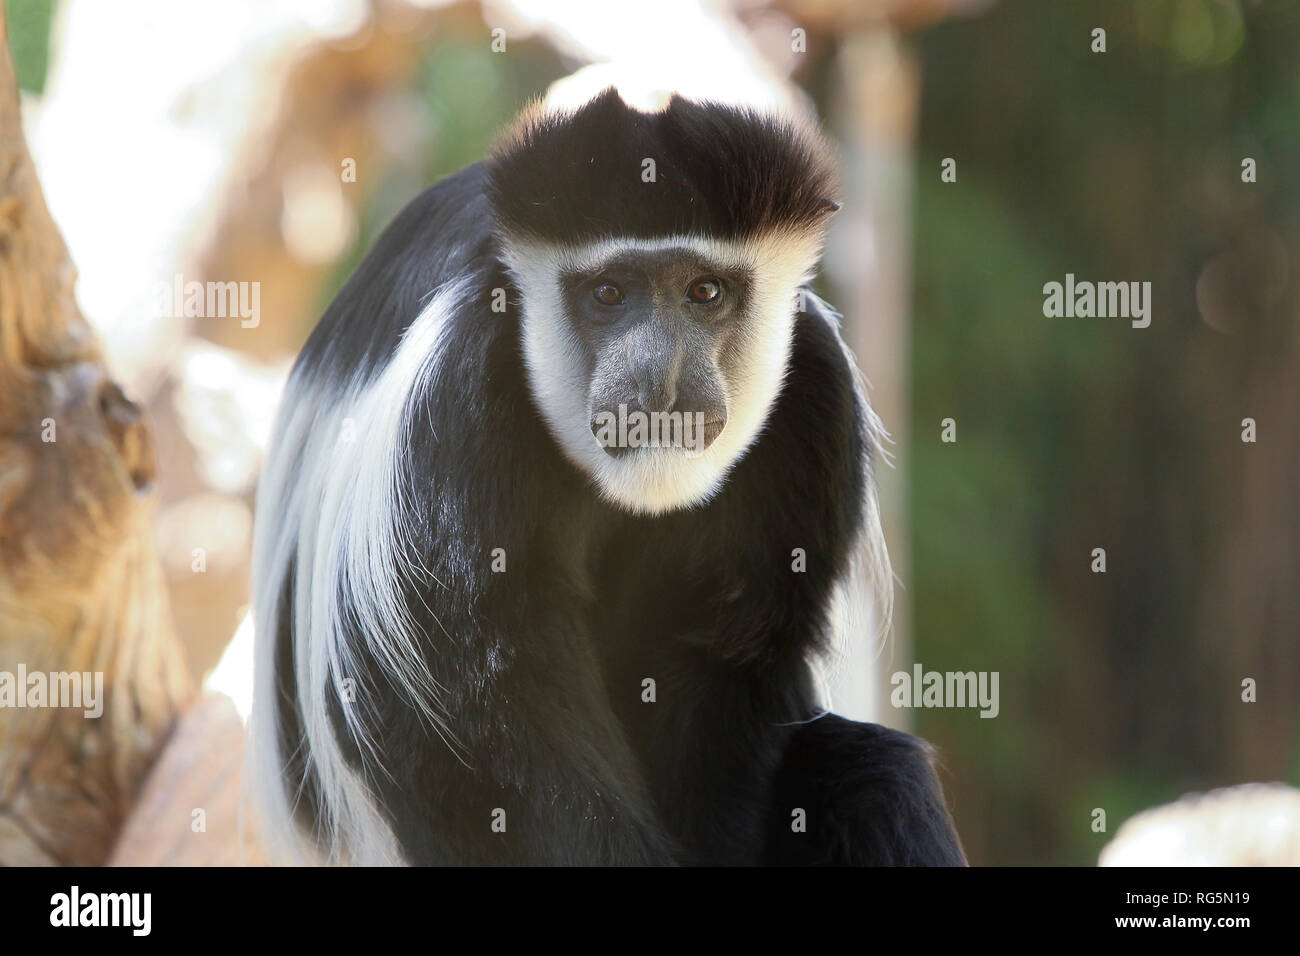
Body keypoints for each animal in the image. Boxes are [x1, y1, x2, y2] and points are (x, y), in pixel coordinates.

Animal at [253, 85, 967, 868]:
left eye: (705, 291)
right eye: (607, 294)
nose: (659, 378)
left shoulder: (813, 387)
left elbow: (721, 651)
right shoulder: (448, 398)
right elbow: (476, 705)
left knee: (876, 769)